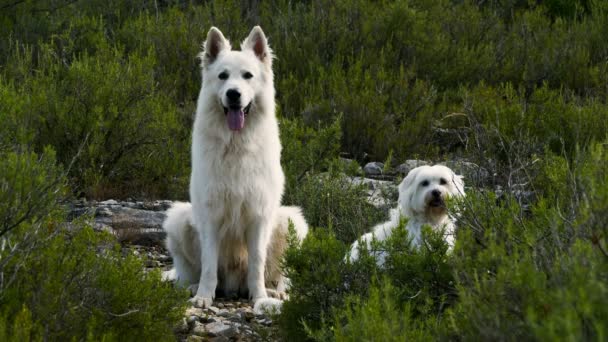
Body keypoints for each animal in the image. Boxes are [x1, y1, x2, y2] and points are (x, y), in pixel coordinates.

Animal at [163, 27, 308, 310]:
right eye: (223, 76)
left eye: (247, 76)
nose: (233, 94)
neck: (236, 145)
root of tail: (232, 287)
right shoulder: (210, 216)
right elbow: (209, 264)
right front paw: (203, 296)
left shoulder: (259, 217)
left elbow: (257, 263)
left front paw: (259, 297)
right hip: (178, 218)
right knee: (191, 276)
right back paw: (195, 288)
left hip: (290, 221)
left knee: (276, 276)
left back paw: (273, 293)